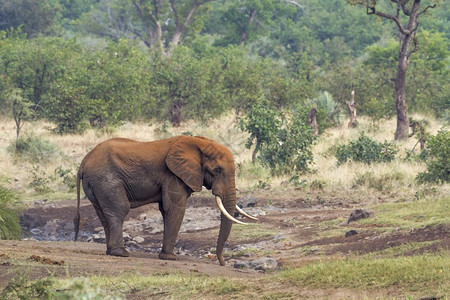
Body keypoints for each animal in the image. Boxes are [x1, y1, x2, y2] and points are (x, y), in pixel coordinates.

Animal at [74, 135, 256, 266]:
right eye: (217, 170)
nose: (222, 263)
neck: (199, 143)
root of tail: (84, 162)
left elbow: (166, 209)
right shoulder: (172, 175)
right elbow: (175, 208)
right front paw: (170, 258)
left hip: (96, 184)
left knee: (103, 214)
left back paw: (110, 251)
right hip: (107, 180)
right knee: (119, 210)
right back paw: (121, 253)